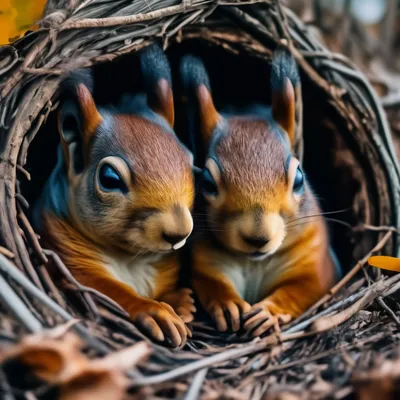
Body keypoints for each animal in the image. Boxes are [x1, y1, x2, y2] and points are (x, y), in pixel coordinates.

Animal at [33, 44, 196, 346]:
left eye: (191, 161)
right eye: (110, 178)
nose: (178, 233)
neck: (131, 259)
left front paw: (179, 301)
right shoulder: (71, 266)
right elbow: (111, 293)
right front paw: (156, 312)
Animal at [181, 48, 340, 336]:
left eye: (299, 178)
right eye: (207, 182)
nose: (258, 238)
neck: (254, 262)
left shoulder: (318, 264)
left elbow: (302, 290)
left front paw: (270, 311)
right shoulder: (206, 259)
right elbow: (210, 282)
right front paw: (227, 304)